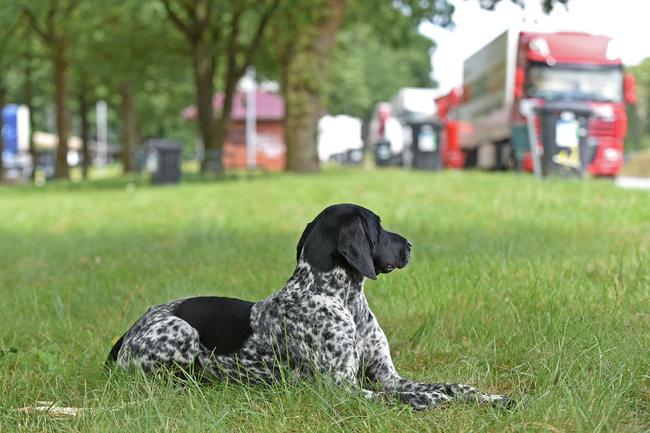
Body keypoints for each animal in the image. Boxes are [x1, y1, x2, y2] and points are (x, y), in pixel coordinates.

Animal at [106, 202, 512, 408]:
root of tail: (126, 333)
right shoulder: (340, 386)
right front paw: (428, 400)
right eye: (378, 226)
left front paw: (488, 396)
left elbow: (451, 386)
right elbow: (398, 398)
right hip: (181, 330)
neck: (340, 299)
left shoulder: (388, 376)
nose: (410, 245)